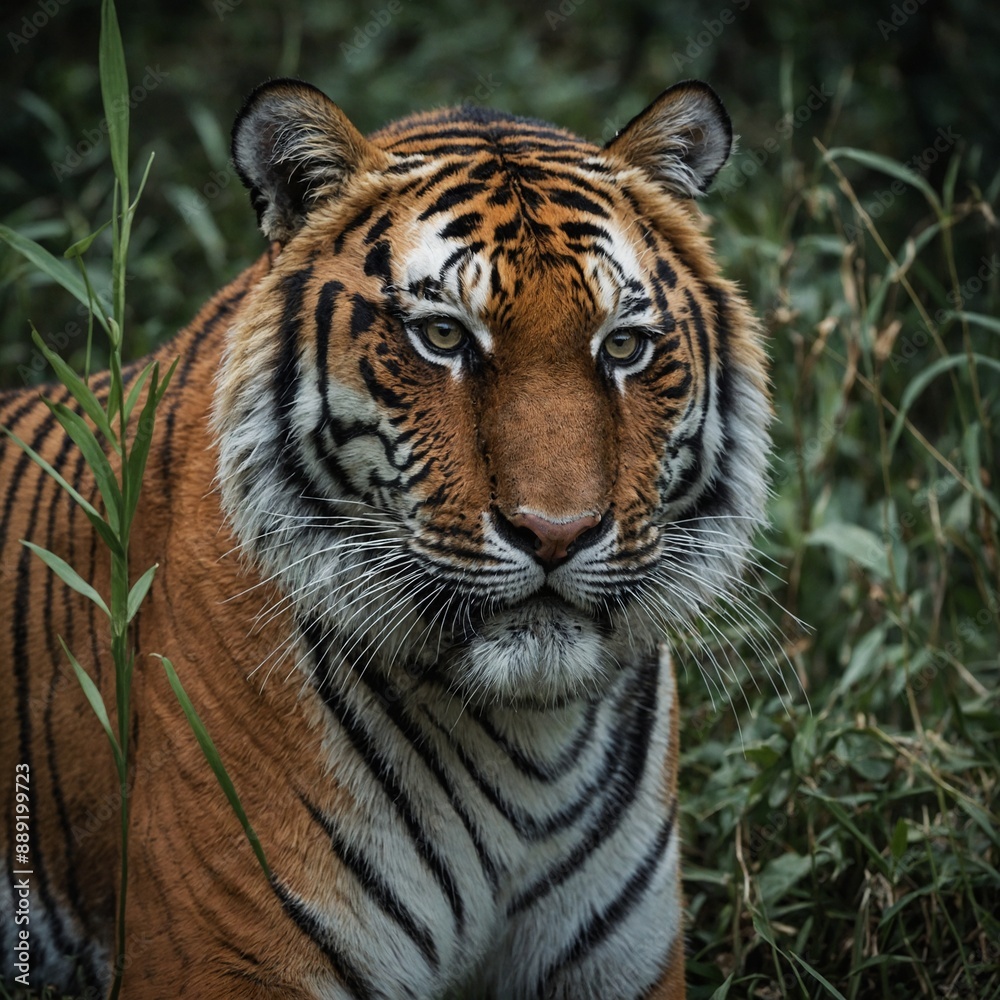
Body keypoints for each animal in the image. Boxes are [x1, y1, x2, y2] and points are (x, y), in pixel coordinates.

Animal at [0, 77, 769, 998]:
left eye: (623, 345)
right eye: (443, 336)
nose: (556, 533)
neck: (530, 743)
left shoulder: (624, 966)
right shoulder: (222, 958)